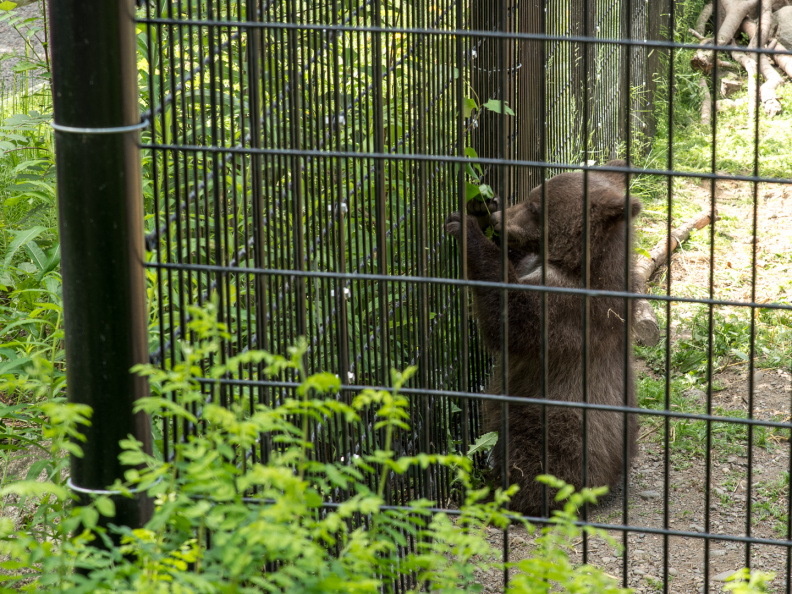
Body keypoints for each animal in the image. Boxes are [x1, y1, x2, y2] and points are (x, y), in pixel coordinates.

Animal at [445, 160, 640, 516]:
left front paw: (467, 229)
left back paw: (510, 492)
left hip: (556, 421)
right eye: (530, 196)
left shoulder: (569, 312)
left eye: (535, 206)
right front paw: (481, 204)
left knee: (532, 457)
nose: (500, 217)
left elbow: (510, 320)